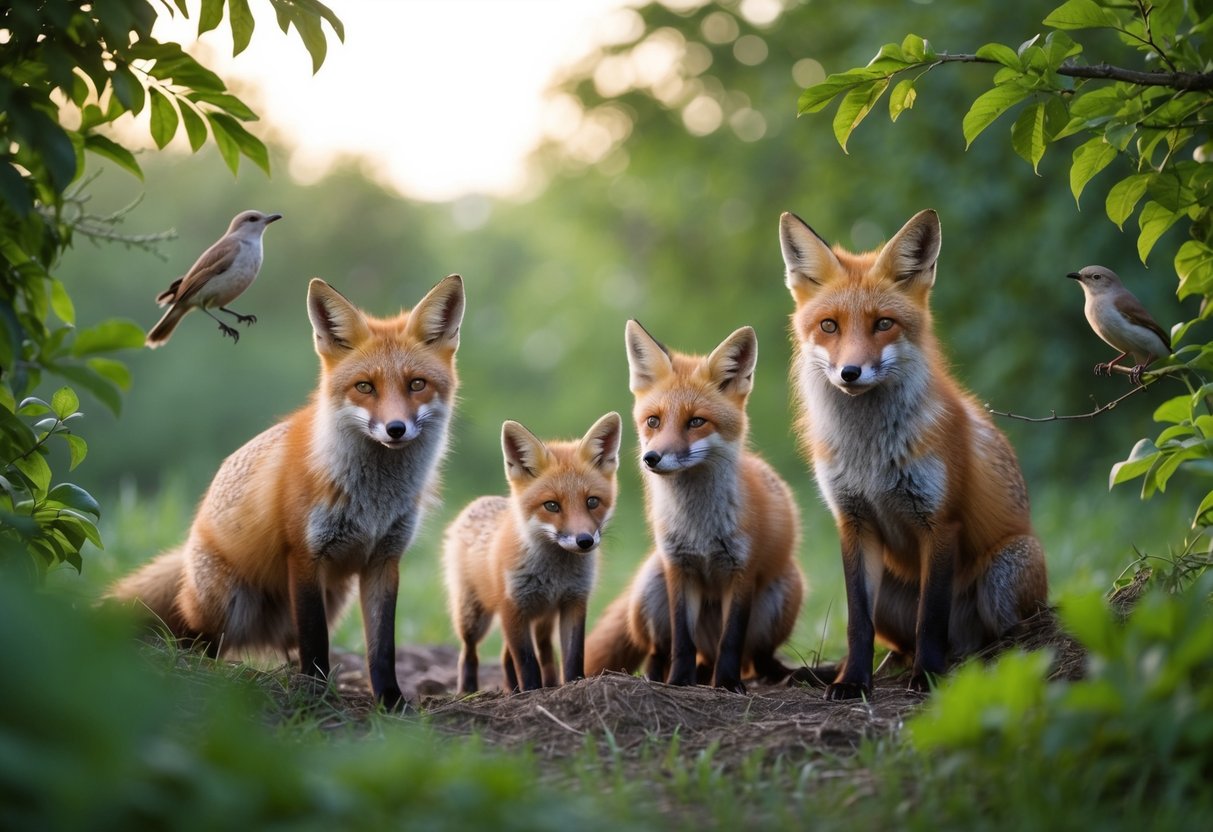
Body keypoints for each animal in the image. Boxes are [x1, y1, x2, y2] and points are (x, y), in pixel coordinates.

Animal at [108, 274, 466, 709]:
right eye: (365, 387)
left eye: (417, 384)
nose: (395, 429)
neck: (373, 501)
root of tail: (190, 544)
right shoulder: (305, 555)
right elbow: (315, 641)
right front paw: (315, 694)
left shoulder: (384, 560)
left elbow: (382, 648)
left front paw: (391, 702)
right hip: (226, 604)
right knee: (195, 641)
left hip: (335, 597)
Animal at [442, 412, 622, 694]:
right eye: (552, 505)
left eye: (592, 501)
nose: (584, 541)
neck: (555, 574)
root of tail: (479, 501)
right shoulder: (513, 607)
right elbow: (526, 662)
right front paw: (532, 690)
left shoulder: (574, 601)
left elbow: (573, 656)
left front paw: (572, 685)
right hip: (473, 617)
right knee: (469, 652)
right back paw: (469, 690)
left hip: (542, 619)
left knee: (529, 654)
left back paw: (526, 686)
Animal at [584, 321, 806, 693]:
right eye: (653, 421)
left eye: (696, 422)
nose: (651, 458)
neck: (699, 527)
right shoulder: (679, 568)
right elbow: (682, 642)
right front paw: (679, 682)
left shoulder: (741, 571)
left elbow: (731, 639)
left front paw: (728, 684)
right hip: (650, 587)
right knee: (660, 652)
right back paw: (665, 678)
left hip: (785, 591)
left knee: (756, 658)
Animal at [778, 208, 1048, 700]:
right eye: (829, 326)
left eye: (884, 323)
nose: (850, 372)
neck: (870, 455)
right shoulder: (854, 522)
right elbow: (857, 624)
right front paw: (853, 682)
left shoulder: (940, 522)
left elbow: (931, 618)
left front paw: (928, 678)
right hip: (889, 589)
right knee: (895, 647)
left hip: (1004, 574)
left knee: (1003, 636)